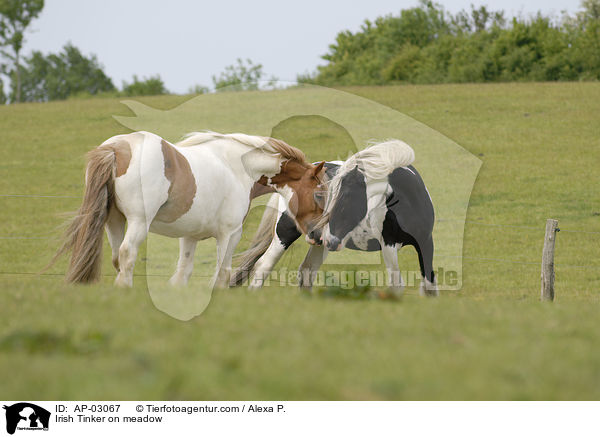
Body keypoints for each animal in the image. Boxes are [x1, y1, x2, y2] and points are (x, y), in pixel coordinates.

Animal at [52, 129, 324, 288]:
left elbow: (183, 272)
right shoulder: (230, 234)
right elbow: (222, 272)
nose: (317, 236)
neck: (237, 166)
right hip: (139, 222)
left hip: (114, 221)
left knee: (118, 257)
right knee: (128, 253)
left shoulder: (189, 237)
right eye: (319, 193)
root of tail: (116, 148)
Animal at [230, 140, 436, 296]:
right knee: (264, 266)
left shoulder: (425, 243)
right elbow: (397, 286)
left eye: (345, 198)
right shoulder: (388, 244)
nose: (327, 236)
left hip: (317, 244)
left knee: (307, 270)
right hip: (286, 234)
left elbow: (429, 285)